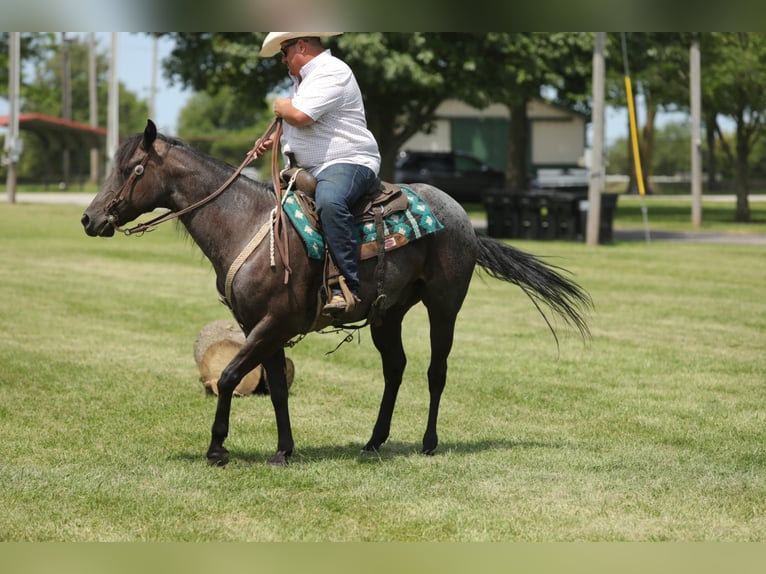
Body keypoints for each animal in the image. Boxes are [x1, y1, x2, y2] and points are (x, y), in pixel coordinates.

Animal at [81, 121, 592, 468]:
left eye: (133, 169)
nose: (90, 218)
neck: (247, 223)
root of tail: (464, 218)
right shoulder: (260, 327)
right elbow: (276, 388)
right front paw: (284, 450)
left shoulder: (272, 324)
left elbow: (227, 378)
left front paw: (217, 448)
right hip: (389, 313)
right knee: (395, 369)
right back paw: (374, 441)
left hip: (444, 306)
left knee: (436, 371)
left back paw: (428, 443)